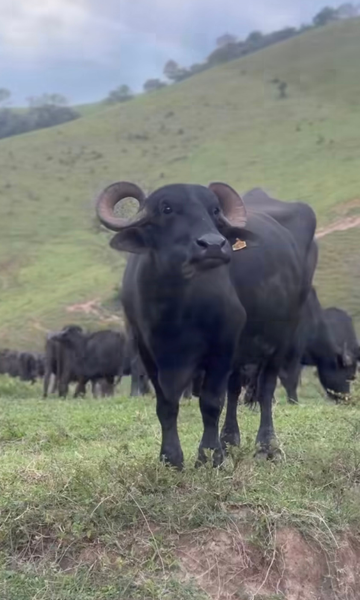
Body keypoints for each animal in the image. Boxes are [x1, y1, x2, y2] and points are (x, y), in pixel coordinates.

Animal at [95, 180, 316, 466]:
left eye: (214, 210)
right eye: (166, 208)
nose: (213, 245)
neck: (175, 310)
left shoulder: (222, 346)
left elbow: (211, 403)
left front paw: (210, 456)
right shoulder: (147, 352)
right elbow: (166, 405)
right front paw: (171, 458)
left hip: (281, 338)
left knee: (266, 390)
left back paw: (267, 447)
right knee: (234, 389)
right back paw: (230, 439)